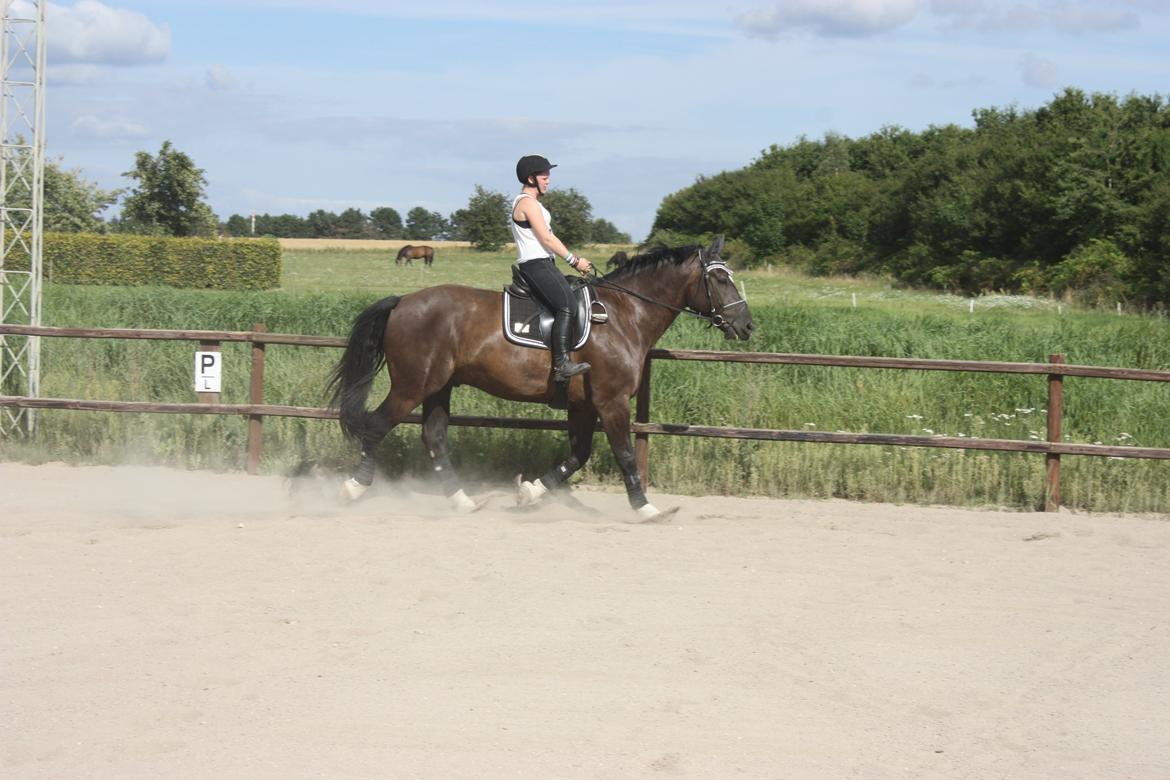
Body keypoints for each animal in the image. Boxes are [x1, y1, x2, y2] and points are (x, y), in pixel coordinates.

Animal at [325, 235, 753, 521]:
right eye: (720, 280)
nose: (747, 325)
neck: (623, 315)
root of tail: (403, 301)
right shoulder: (611, 401)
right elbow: (625, 453)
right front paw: (646, 508)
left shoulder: (583, 405)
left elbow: (578, 455)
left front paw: (529, 493)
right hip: (413, 385)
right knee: (377, 426)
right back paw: (351, 489)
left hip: (439, 387)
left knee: (434, 437)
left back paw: (464, 501)